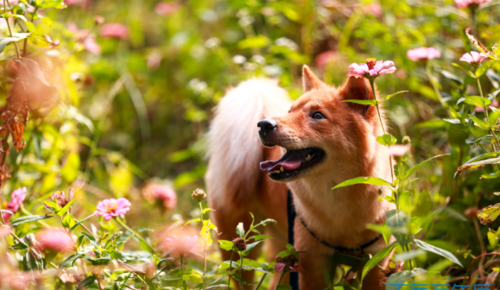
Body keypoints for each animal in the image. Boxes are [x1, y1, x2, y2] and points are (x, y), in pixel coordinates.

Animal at [206, 65, 394, 290]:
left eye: (317, 115)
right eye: (290, 111)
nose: (263, 125)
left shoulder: (376, 263)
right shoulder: (311, 263)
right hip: (239, 250)